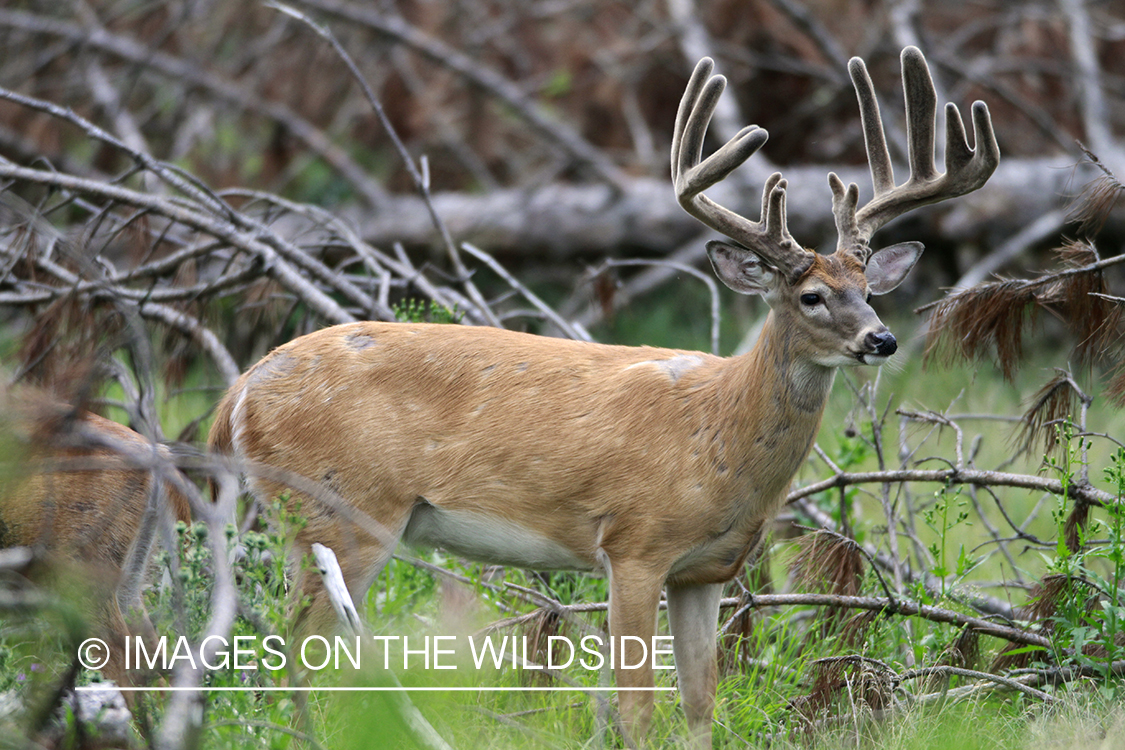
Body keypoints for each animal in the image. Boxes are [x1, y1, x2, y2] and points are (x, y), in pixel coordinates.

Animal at [209, 48, 994, 750]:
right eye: (811, 296)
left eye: (867, 289)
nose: (881, 339)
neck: (721, 431)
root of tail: (239, 391)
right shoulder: (633, 543)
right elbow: (635, 707)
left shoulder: (705, 570)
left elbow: (701, 703)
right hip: (340, 510)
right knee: (288, 652)